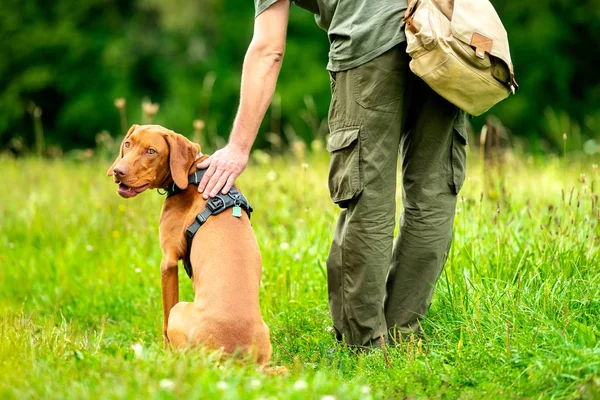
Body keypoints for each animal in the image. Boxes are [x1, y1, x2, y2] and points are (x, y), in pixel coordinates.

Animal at [107, 124, 272, 362]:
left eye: (151, 151)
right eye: (128, 144)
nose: (118, 171)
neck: (191, 174)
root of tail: (235, 358)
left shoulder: (168, 261)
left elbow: (164, 322)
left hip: (180, 310)